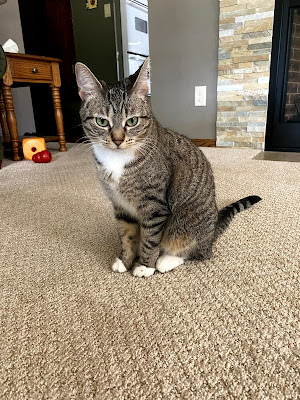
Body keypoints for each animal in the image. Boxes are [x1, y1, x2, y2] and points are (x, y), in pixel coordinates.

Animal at [75, 58, 260, 278]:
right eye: (102, 122)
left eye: (132, 121)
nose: (118, 140)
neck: (117, 159)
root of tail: (213, 229)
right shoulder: (119, 205)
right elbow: (127, 235)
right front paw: (125, 260)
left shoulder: (154, 206)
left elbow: (150, 239)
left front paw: (145, 265)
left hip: (185, 222)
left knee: (196, 252)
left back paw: (166, 260)